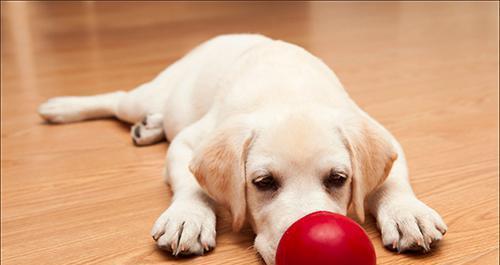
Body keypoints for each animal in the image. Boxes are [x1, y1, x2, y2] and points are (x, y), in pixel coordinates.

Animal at [38, 34, 446, 262]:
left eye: (338, 179)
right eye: (263, 183)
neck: (288, 91)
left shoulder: (382, 133)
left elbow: (393, 180)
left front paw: (409, 213)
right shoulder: (190, 141)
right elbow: (190, 184)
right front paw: (187, 217)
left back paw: (148, 127)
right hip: (151, 95)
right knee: (119, 100)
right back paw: (61, 108)